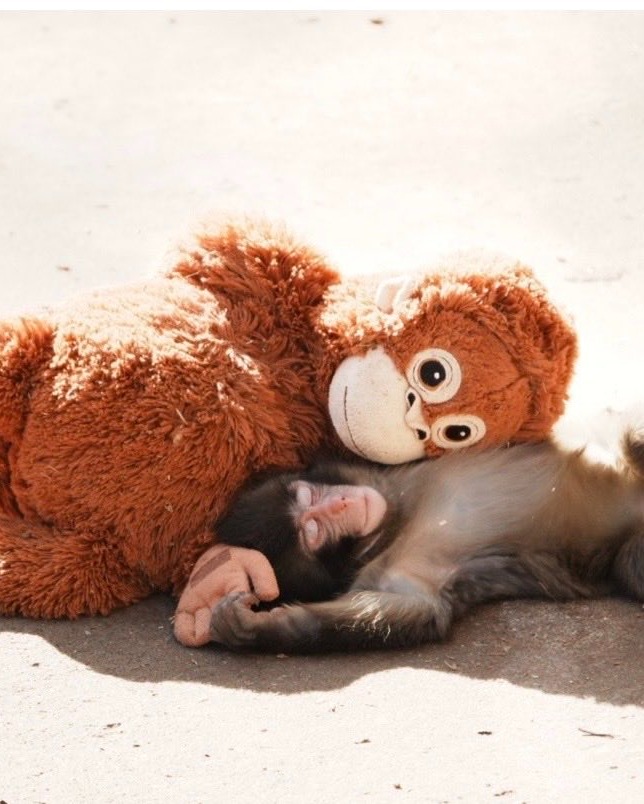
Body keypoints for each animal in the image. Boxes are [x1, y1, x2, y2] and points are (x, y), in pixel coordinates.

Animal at [210, 431, 644, 652]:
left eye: (311, 497)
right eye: (313, 531)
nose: (342, 504)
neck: (398, 521)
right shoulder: (396, 572)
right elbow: (415, 610)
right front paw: (257, 629)